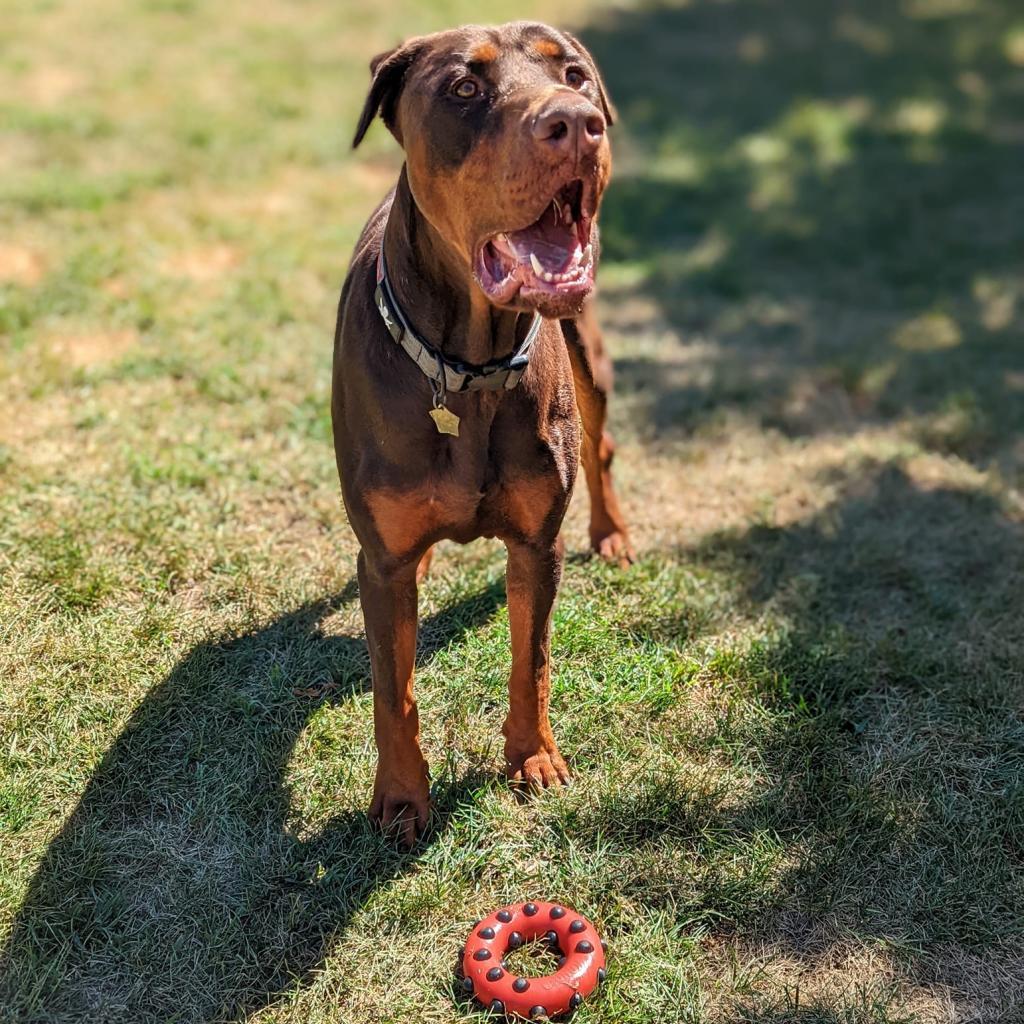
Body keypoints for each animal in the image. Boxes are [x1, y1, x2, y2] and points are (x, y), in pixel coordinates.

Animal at [331, 22, 630, 847]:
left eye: (575, 74)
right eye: (464, 87)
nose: (575, 123)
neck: (467, 364)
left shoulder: (536, 542)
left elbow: (532, 658)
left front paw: (533, 759)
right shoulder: (382, 563)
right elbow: (393, 689)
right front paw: (403, 799)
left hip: (589, 359)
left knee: (601, 445)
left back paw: (614, 532)